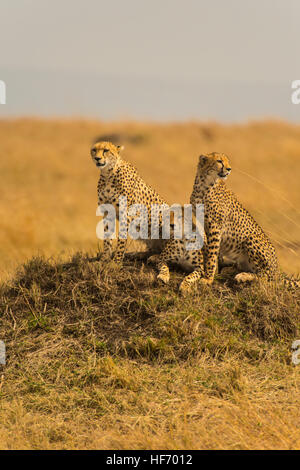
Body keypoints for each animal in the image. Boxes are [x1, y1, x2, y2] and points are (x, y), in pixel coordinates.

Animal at [90, 140, 204, 276]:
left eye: (106, 150)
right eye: (94, 150)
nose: (97, 158)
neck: (108, 174)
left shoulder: (125, 214)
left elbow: (121, 240)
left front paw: (115, 262)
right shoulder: (107, 212)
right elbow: (107, 238)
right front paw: (104, 259)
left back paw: (154, 257)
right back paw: (137, 255)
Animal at [178, 151, 300, 290]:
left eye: (227, 161)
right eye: (219, 161)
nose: (229, 169)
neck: (204, 183)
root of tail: (277, 271)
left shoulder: (215, 225)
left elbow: (212, 252)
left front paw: (208, 278)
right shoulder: (202, 223)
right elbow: (210, 249)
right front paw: (213, 271)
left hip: (252, 239)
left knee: (266, 279)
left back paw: (243, 276)